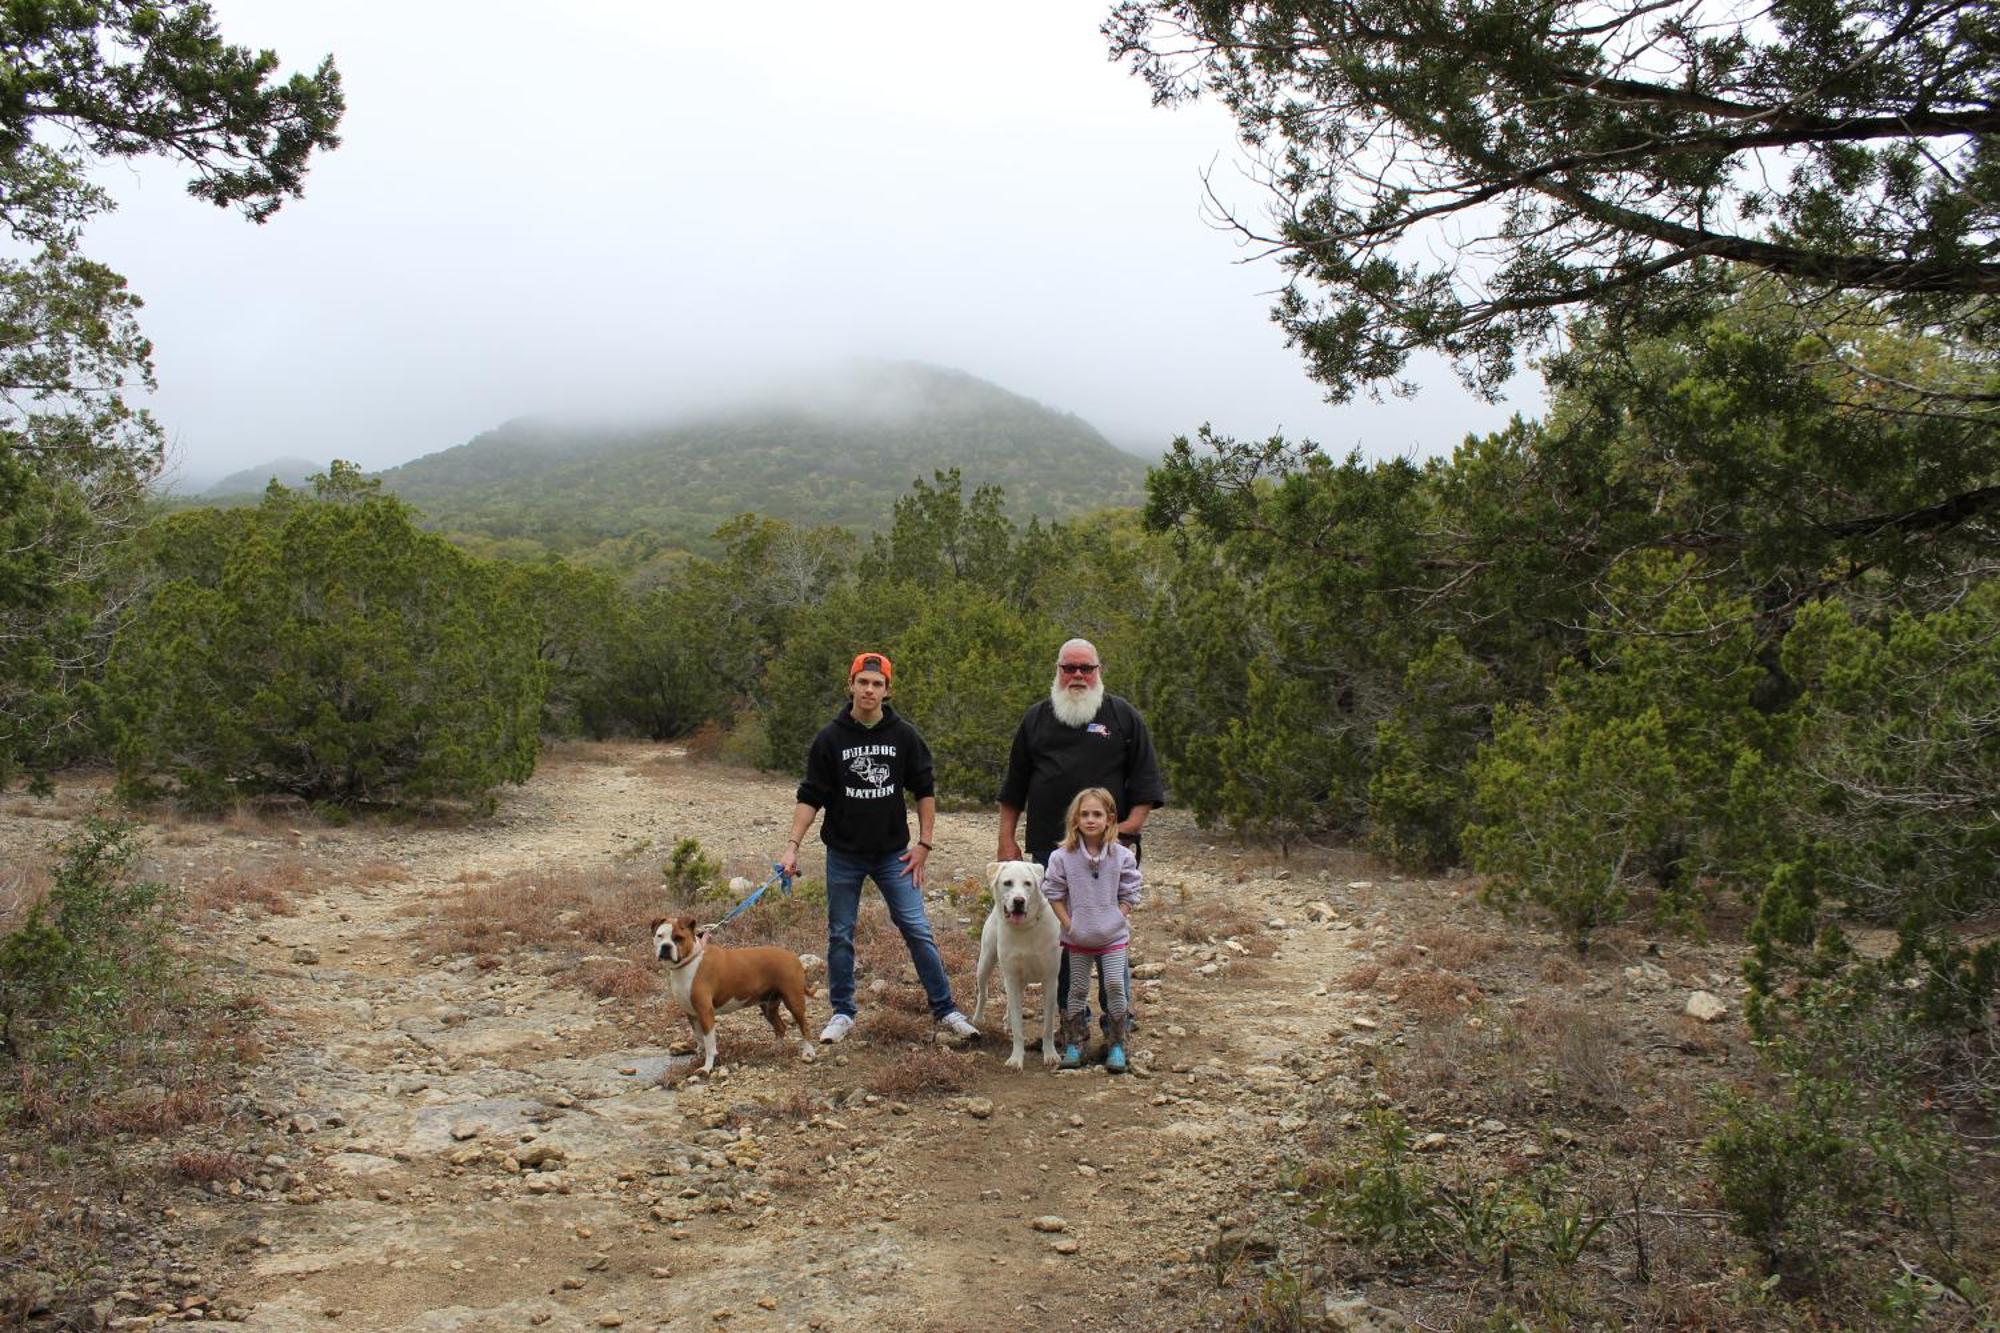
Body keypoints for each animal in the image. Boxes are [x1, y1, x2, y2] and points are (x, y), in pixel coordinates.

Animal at [656, 912, 812, 1072]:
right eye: (659, 936)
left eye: (678, 938)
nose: (665, 947)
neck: (690, 962)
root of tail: (793, 956)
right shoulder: (691, 1014)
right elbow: (699, 1039)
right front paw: (698, 1058)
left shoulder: (705, 1012)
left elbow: (709, 1044)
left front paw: (707, 1067)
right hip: (769, 1006)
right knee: (780, 1027)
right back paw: (776, 1049)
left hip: (794, 1001)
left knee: (804, 1026)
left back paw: (808, 1052)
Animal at [968, 860, 1064, 1072]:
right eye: (1008, 883)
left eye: (1028, 883)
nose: (1019, 901)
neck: (1025, 928)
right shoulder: (1011, 977)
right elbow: (1019, 1027)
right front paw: (1016, 1058)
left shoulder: (1050, 980)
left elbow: (1047, 1026)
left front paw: (1050, 1055)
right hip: (986, 962)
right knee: (984, 992)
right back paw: (978, 1019)